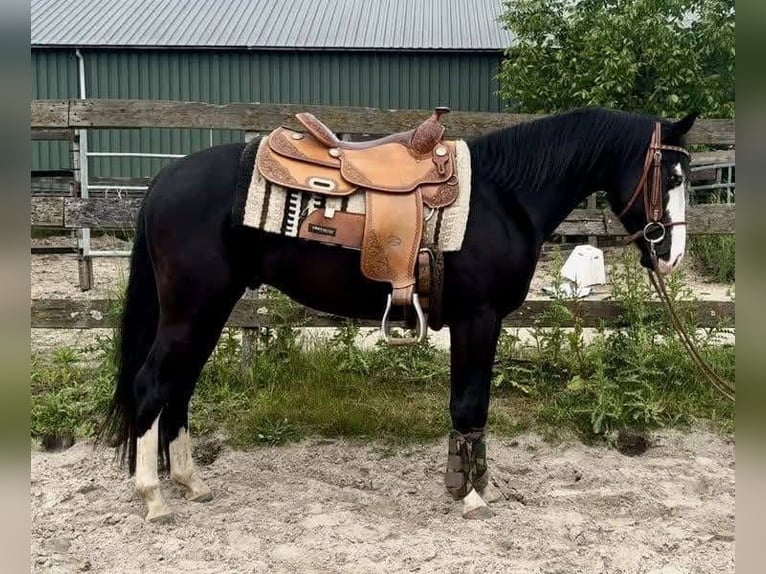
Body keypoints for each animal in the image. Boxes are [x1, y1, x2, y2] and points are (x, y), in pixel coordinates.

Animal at [100, 107, 697, 521]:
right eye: (671, 177)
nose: (671, 256)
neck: (505, 197)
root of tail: (162, 182)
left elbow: (471, 408)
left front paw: (470, 485)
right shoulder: (479, 319)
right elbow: (470, 406)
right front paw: (471, 495)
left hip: (207, 310)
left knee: (179, 387)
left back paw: (190, 482)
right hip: (192, 309)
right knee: (153, 386)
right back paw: (154, 498)